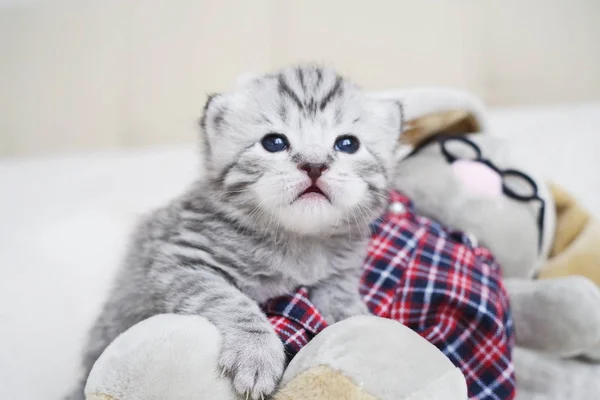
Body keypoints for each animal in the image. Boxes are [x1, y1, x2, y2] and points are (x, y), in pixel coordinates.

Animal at [67, 65, 404, 400]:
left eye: (347, 144)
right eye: (274, 142)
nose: (314, 165)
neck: (299, 241)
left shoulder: (340, 273)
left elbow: (345, 302)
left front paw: (358, 319)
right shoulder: (183, 261)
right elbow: (233, 302)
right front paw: (256, 355)